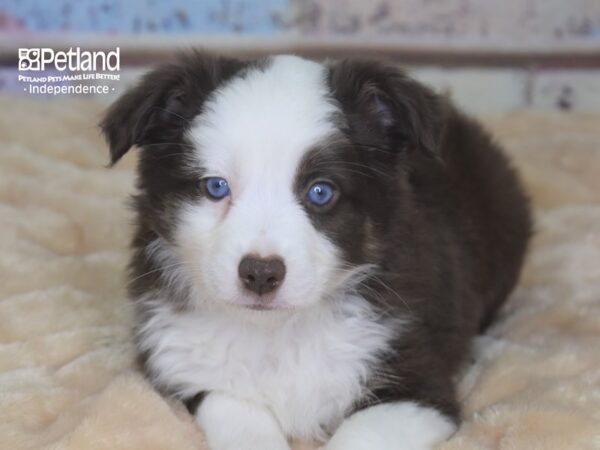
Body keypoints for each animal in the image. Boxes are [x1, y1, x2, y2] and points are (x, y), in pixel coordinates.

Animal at [101, 52, 532, 450]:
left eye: (321, 192)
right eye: (215, 187)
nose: (260, 273)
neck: (278, 331)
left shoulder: (414, 383)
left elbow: (361, 436)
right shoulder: (190, 365)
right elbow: (241, 418)